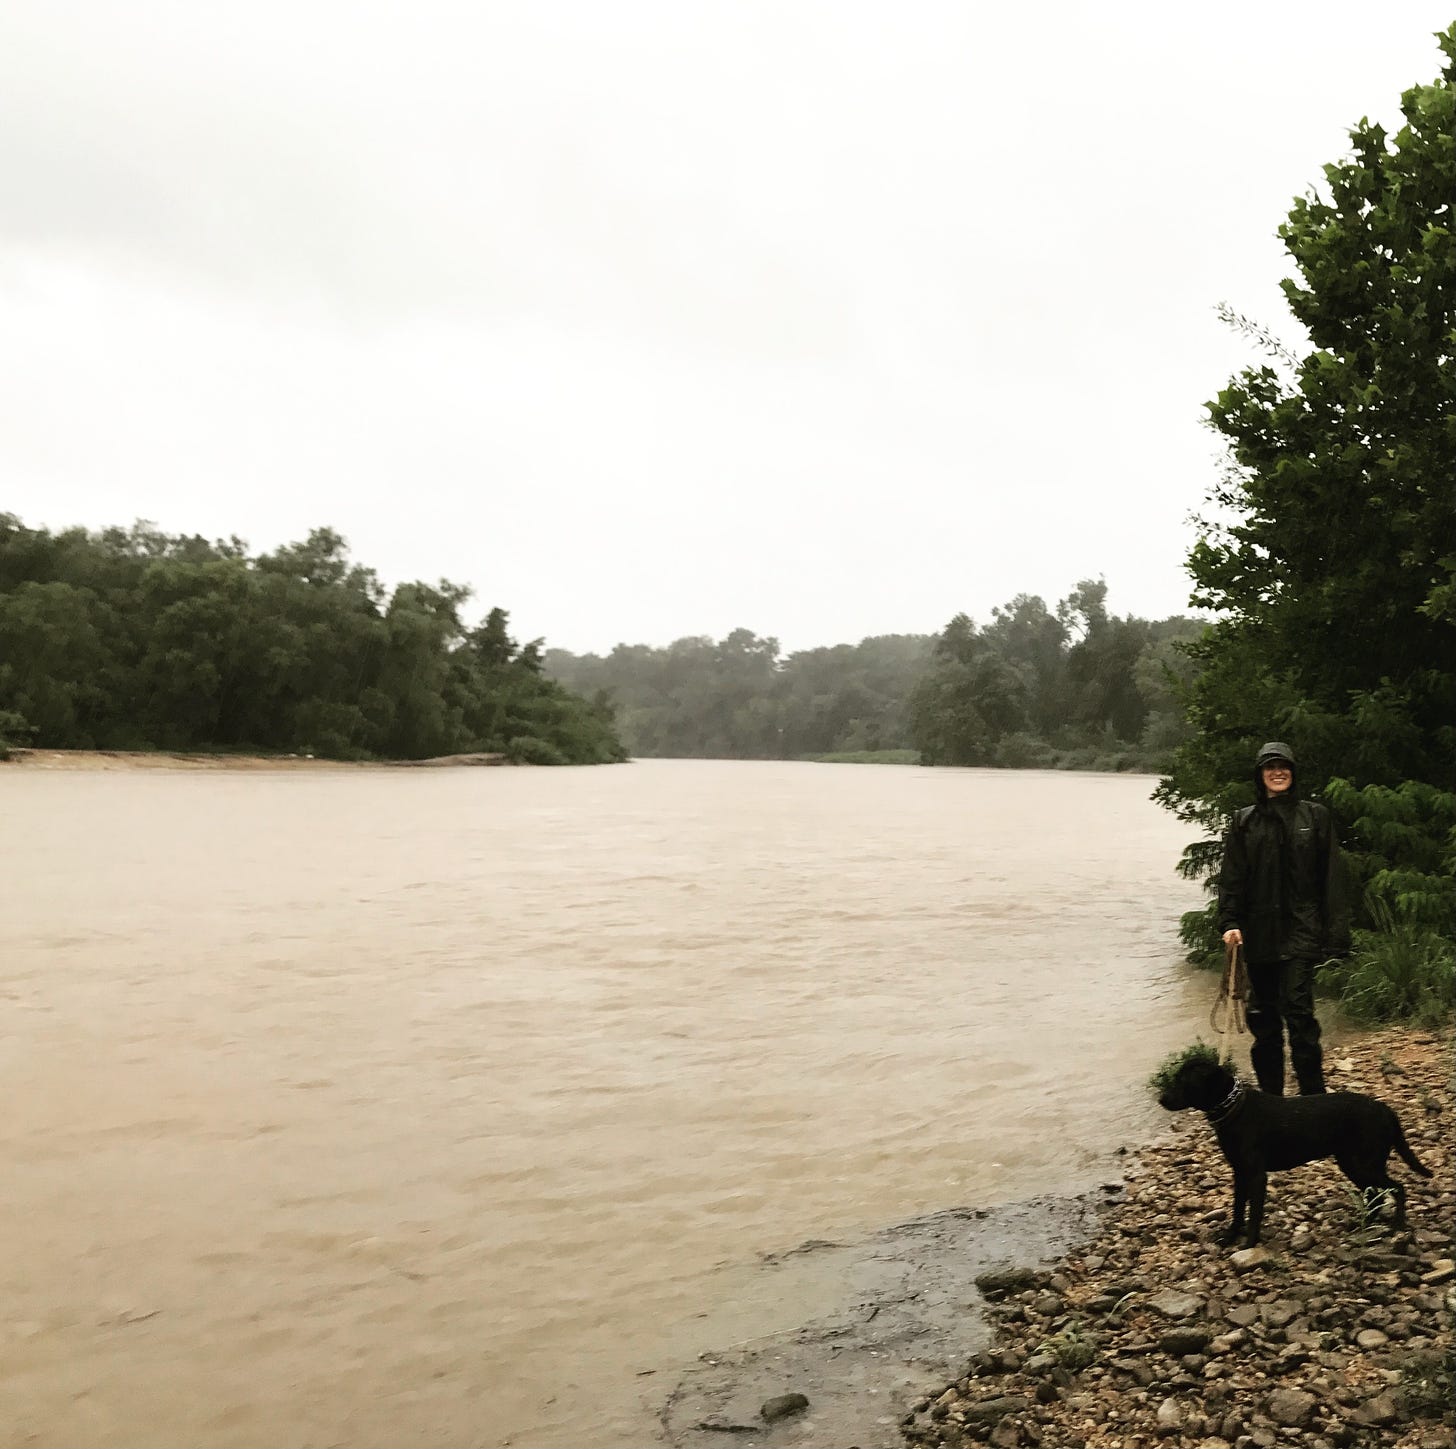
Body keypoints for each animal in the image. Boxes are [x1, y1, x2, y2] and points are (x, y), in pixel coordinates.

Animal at [1158, 1054, 1432, 1246]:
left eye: (1184, 1082)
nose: (1161, 1099)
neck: (1235, 1108)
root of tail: (1387, 1110)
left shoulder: (1257, 1176)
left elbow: (1254, 1214)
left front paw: (1249, 1244)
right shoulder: (1239, 1173)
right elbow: (1237, 1210)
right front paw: (1229, 1237)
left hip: (1364, 1163)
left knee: (1397, 1188)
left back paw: (1397, 1226)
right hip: (1353, 1163)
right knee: (1375, 1194)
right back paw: (1363, 1224)